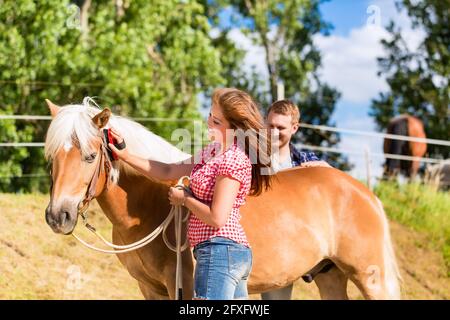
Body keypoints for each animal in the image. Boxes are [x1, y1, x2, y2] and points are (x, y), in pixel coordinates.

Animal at [44, 97, 400, 300]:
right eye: (52, 157)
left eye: (91, 156)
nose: (58, 216)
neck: (148, 205)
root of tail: (364, 192)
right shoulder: (149, 288)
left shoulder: (183, 286)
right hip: (331, 276)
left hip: (371, 279)